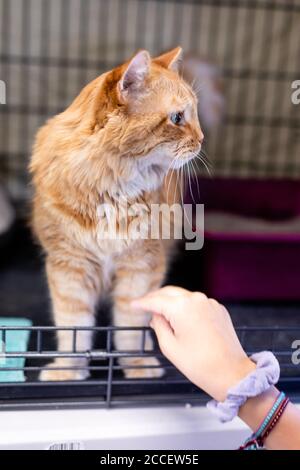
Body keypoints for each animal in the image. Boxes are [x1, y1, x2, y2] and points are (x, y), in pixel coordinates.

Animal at [29, 47, 204, 380]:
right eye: (177, 118)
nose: (201, 140)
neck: (111, 191)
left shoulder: (141, 267)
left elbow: (128, 329)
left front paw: (134, 364)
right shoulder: (69, 268)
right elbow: (74, 329)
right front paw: (69, 370)